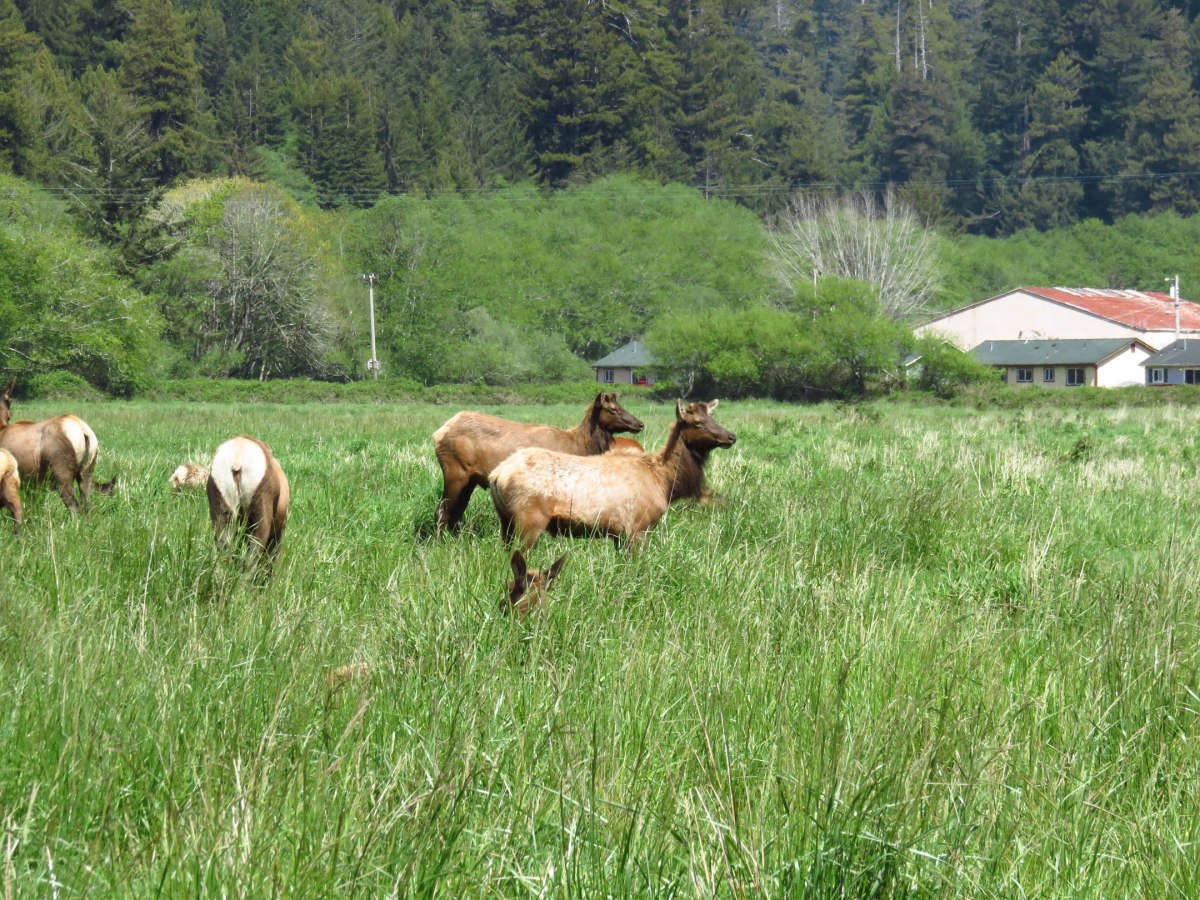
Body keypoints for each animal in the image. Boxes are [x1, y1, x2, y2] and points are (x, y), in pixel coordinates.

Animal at [0, 378, 98, 514]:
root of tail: (83, 430)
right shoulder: (32, 482)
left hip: (62, 474)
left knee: (74, 506)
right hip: (87, 471)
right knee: (88, 504)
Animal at [433, 392, 644, 533]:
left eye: (621, 406)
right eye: (613, 409)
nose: (640, 424)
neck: (578, 446)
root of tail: (438, 433)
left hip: (470, 478)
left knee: (458, 511)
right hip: (455, 471)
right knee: (442, 510)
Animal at [489, 400, 735, 552]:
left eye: (714, 419)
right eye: (698, 422)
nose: (731, 436)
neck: (664, 482)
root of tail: (497, 475)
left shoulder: (618, 535)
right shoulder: (638, 527)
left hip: (506, 522)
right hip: (529, 520)